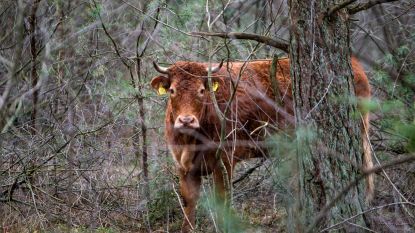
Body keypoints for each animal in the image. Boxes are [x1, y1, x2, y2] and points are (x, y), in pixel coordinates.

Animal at [150, 57, 374, 232]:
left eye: (202, 90)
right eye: (172, 90)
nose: (186, 120)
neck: (191, 141)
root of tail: (355, 65)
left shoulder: (225, 161)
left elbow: (222, 200)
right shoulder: (183, 167)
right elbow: (189, 204)